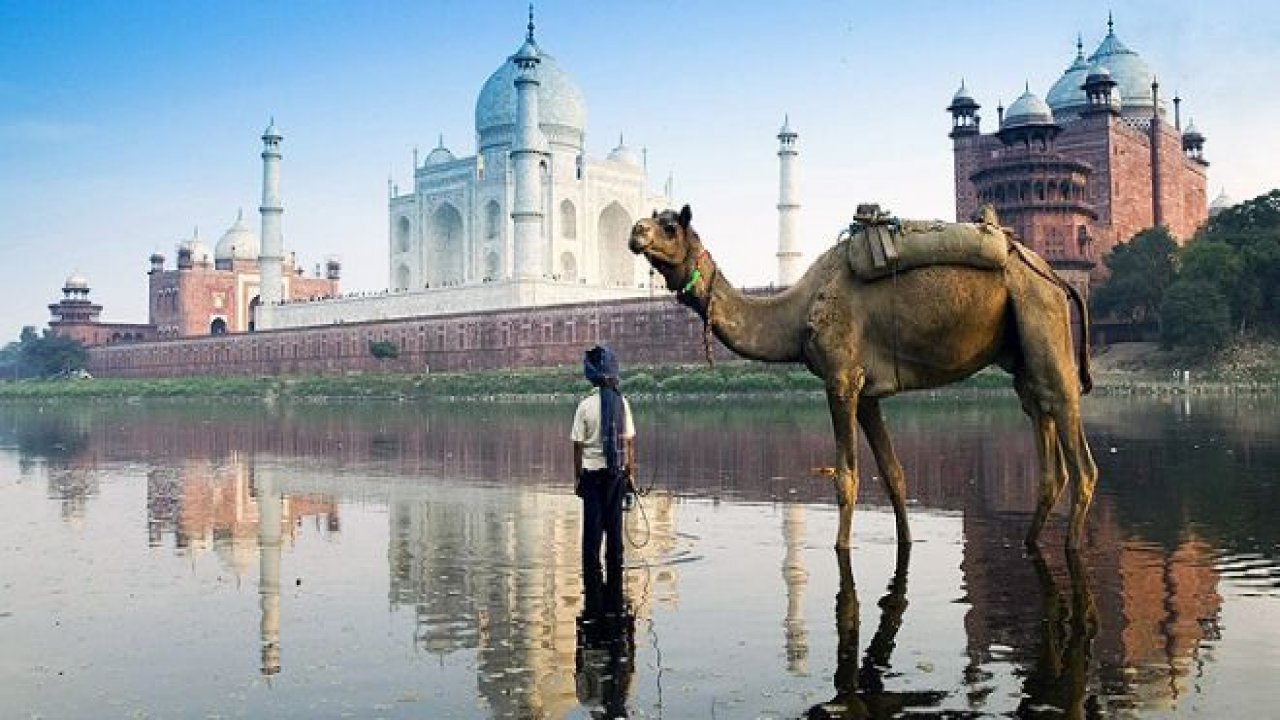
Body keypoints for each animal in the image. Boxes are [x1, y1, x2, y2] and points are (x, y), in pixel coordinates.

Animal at [629, 204, 1100, 545]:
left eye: (670, 226)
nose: (636, 231)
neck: (797, 312)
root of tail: (1055, 275)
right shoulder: (868, 391)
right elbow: (893, 475)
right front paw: (906, 542)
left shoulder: (840, 378)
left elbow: (846, 479)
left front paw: (841, 548)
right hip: (1021, 349)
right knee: (1043, 433)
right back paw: (1031, 543)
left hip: (1042, 314)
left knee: (1076, 445)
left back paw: (1072, 546)